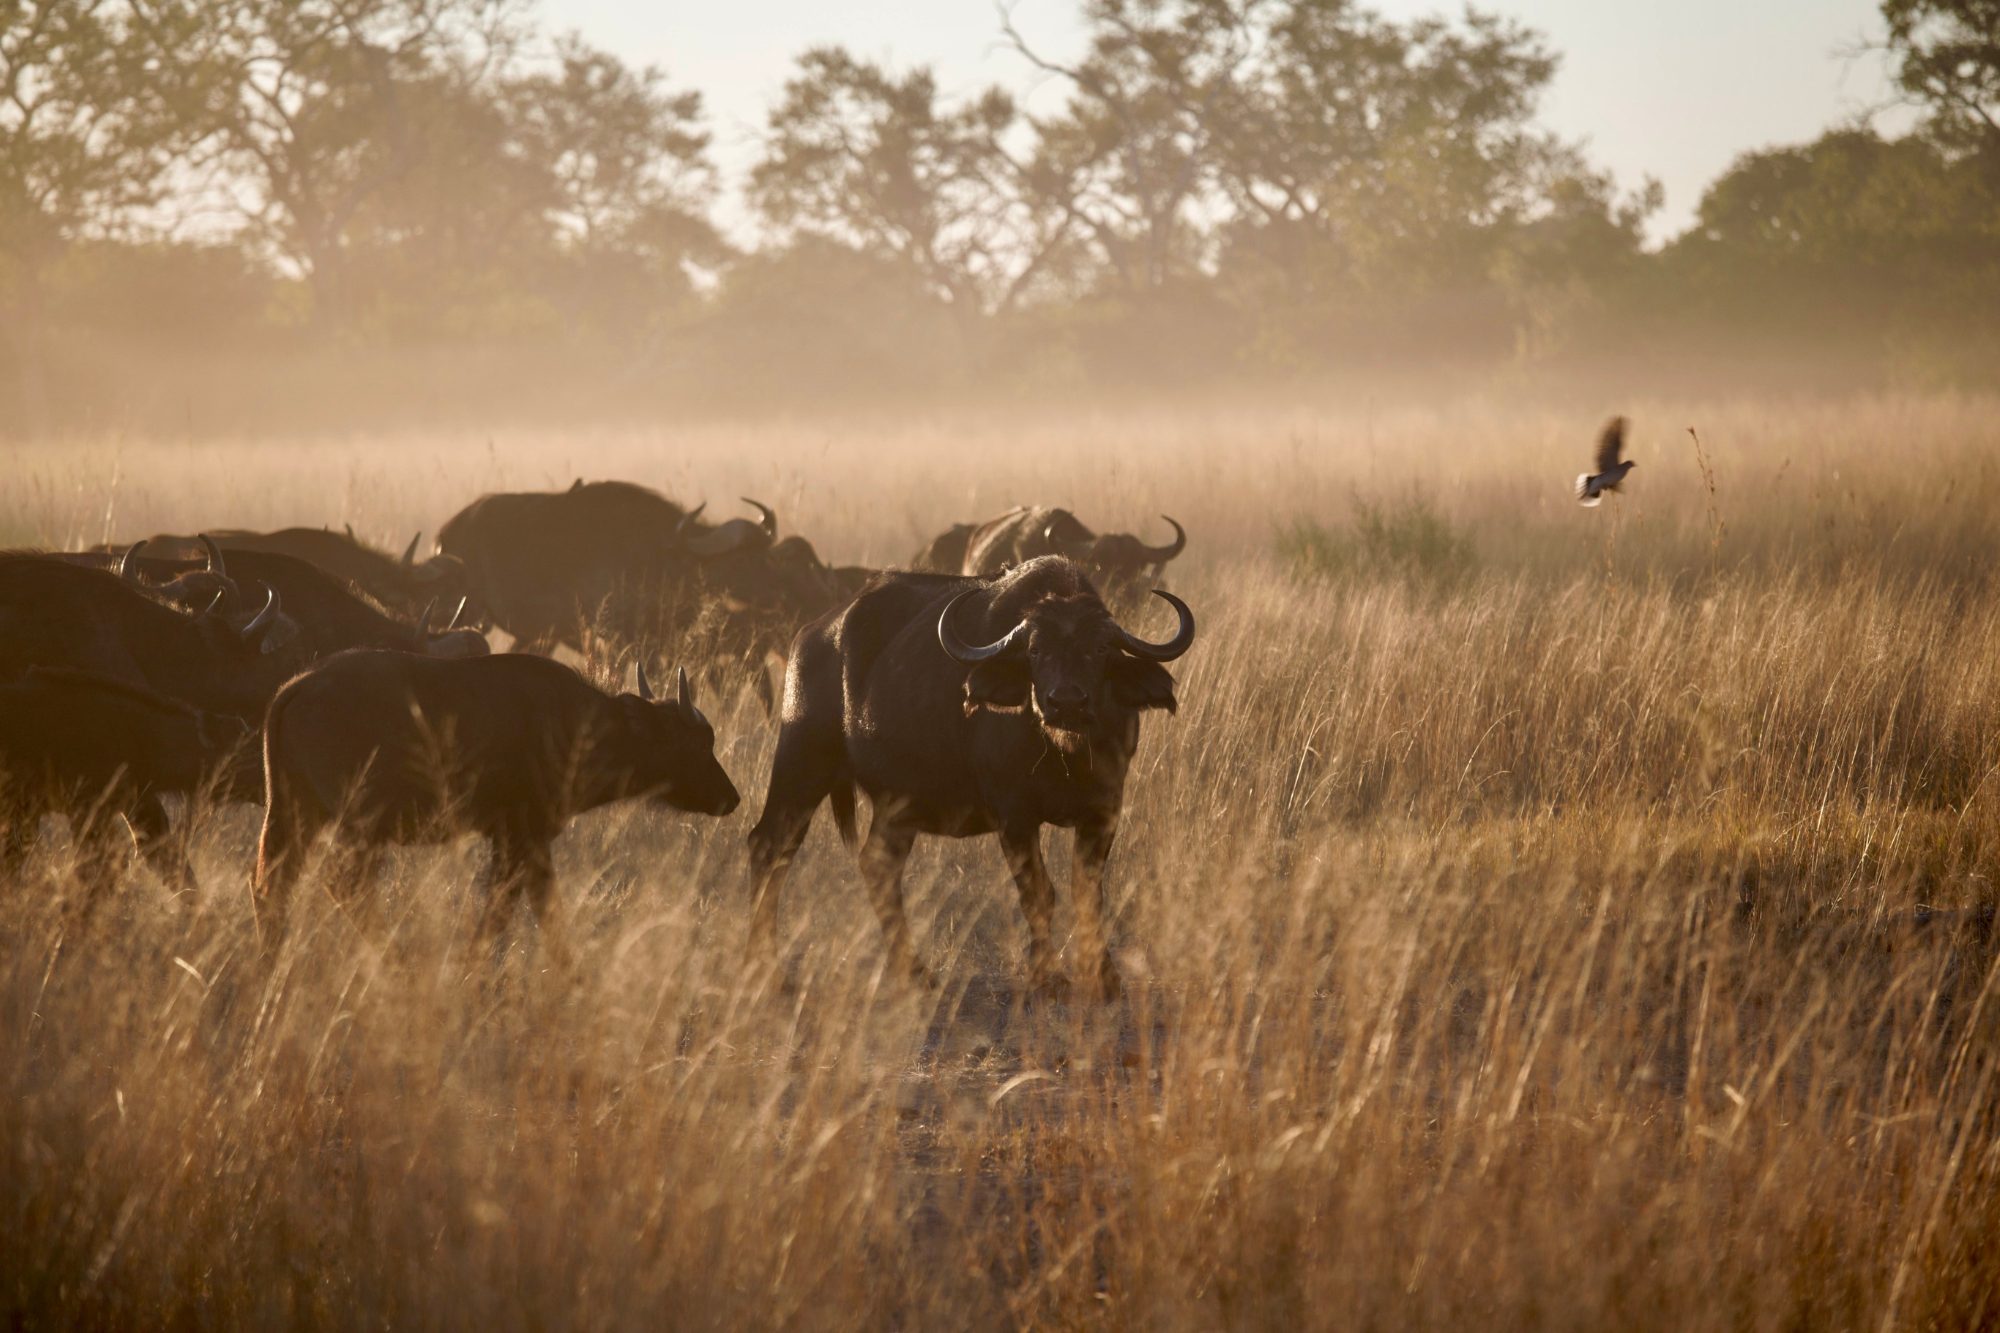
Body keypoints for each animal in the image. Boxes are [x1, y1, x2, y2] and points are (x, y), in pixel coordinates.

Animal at [254, 651, 741, 958]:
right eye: (698, 743)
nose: (732, 798)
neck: (576, 726)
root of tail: (298, 687)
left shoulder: (525, 844)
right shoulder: (521, 837)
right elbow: (506, 914)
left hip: (290, 813)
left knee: (269, 885)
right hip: (359, 826)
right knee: (343, 884)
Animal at [745, 556, 1194, 998]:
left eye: (1099, 648)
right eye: (1035, 650)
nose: (1066, 702)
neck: (1064, 754)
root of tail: (813, 635)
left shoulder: (1104, 810)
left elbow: (1087, 892)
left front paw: (1105, 976)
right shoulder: (1014, 815)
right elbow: (1038, 892)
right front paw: (1046, 976)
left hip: (896, 806)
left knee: (877, 865)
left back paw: (915, 972)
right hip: (802, 762)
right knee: (770, 847)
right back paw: (768, 972)